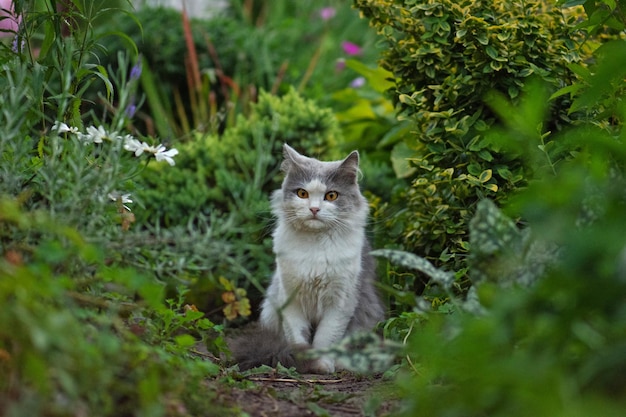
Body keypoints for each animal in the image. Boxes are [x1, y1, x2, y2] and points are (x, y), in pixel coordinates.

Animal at [232, 144, 382, 374]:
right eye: (302, 193)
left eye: (331, 195)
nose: (314, 209)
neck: (315, 245)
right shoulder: (290, 298)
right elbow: (297, 336)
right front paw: (303, 361)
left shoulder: (340, 302)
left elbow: (325, 337)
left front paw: (321, 364)